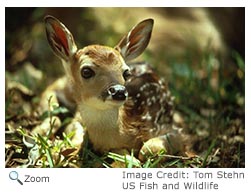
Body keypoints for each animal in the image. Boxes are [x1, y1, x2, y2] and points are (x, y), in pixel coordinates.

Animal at [44, 15, 188, 161]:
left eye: (126, 73)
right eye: (86, 71)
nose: (119, 91)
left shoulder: (174, 129)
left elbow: (147, 150)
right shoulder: (78, 117)